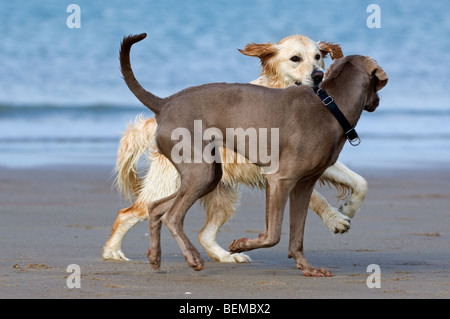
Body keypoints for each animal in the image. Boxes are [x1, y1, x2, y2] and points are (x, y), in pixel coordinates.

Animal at [103, 35, 370, 264]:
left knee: (204, 234)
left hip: (221, 191)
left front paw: (349, 208)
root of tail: (162, 110)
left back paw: (228, 255)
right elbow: (316, 197)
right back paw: (113, 252)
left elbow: (360, 181)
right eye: (295, 58)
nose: (318, 75)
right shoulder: (278, 172)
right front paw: (335, 219)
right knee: (129, 213)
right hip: (176, 183)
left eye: (318, 56)